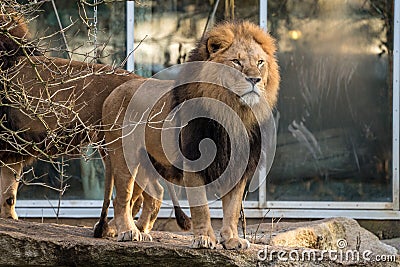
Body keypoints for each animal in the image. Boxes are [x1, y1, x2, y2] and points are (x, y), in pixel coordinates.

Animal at [95, 20, 280, 249]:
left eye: (260, 62)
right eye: (236, 62)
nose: (254, 79)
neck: (234, 112)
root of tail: (113, 92)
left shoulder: (238, 165)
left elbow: (233, 209)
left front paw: (231, 240)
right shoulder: (193, 161)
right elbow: (201, 208)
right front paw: (204, 238)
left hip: (147, 162)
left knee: (154, 194)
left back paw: (143, 231)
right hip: (124, 156)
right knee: (122, 197)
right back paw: (128, 231)